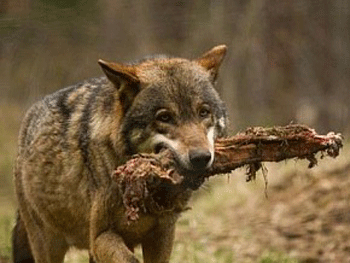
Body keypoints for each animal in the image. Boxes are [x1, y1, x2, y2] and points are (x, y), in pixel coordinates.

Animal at [13, 44, 227, 262]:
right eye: (164, 117)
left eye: (203, 112)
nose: (201, 158)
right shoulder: (100, 236)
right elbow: (129, 259)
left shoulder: (163, 235)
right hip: (49, 245)